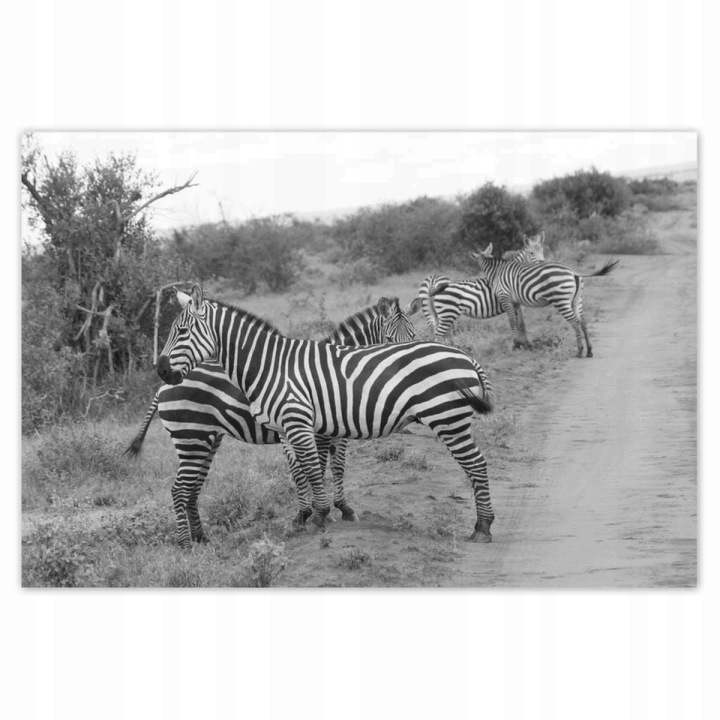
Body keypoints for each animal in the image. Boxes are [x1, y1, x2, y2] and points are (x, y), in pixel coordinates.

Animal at [126, 297, 421, 548]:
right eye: (389, 339)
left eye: (414, 337)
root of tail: (162, 386)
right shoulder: (318, 430)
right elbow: (316, 468)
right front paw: (321, 512)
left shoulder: (332, 429)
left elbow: (335, 468)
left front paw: (337, 510)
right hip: (191, 436)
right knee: (181, 489)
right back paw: (186, 544)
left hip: (207, 439)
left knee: (193, 488)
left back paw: (201, 538)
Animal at [472, 243, 619, 357]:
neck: (497, 271)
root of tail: (572, 271)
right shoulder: (516, 302)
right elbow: (521, 322)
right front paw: (523, 344)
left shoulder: (505, 298)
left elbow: (512, 321)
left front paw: (515, 344)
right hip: (577, 300)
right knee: (583, 321)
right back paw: (589, 351)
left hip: (561, 301)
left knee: (575, 322)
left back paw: (579, 351)